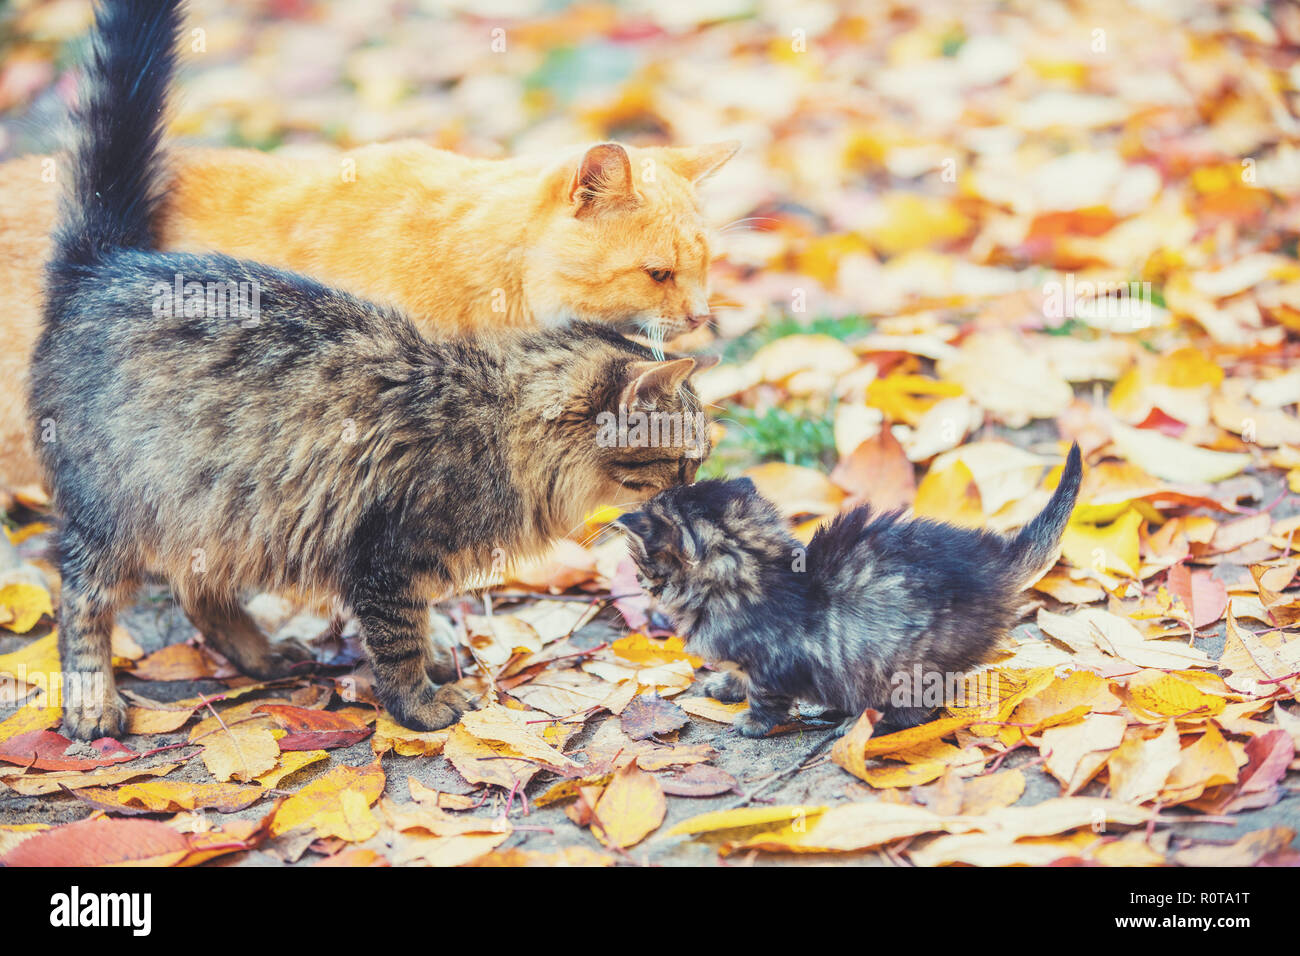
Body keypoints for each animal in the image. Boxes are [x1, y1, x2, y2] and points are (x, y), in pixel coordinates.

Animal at [613, 444, 1081, 738]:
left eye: (639, 563)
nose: (635, 581)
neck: (751, 573)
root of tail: (992, 561)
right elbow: (737, 673)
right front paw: (725, 686)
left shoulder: (774, 664)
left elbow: (766, 697)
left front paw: (751, 722)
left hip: (902, 665)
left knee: (918, 707)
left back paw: (855, 724)